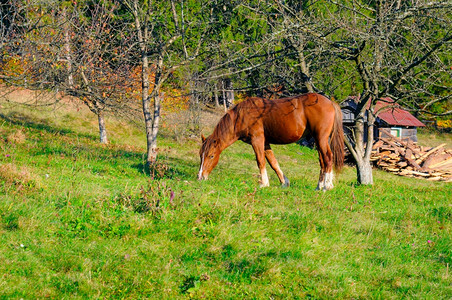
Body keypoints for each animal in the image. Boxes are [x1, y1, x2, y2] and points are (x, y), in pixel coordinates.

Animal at [197, 92, 342, 190]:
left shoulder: (257, 140)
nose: (200, 177)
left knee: (328, 158)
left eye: (211, 156)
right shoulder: (265, 143)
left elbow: (260, 161)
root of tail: (330, 103)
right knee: (322, 161)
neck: (243, 115)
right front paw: (284, 182)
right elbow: (273, 163)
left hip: (321, 138)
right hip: (318, 140)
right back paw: (319, 186)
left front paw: (264, 183)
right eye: (201, 155)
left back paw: (327, 186)